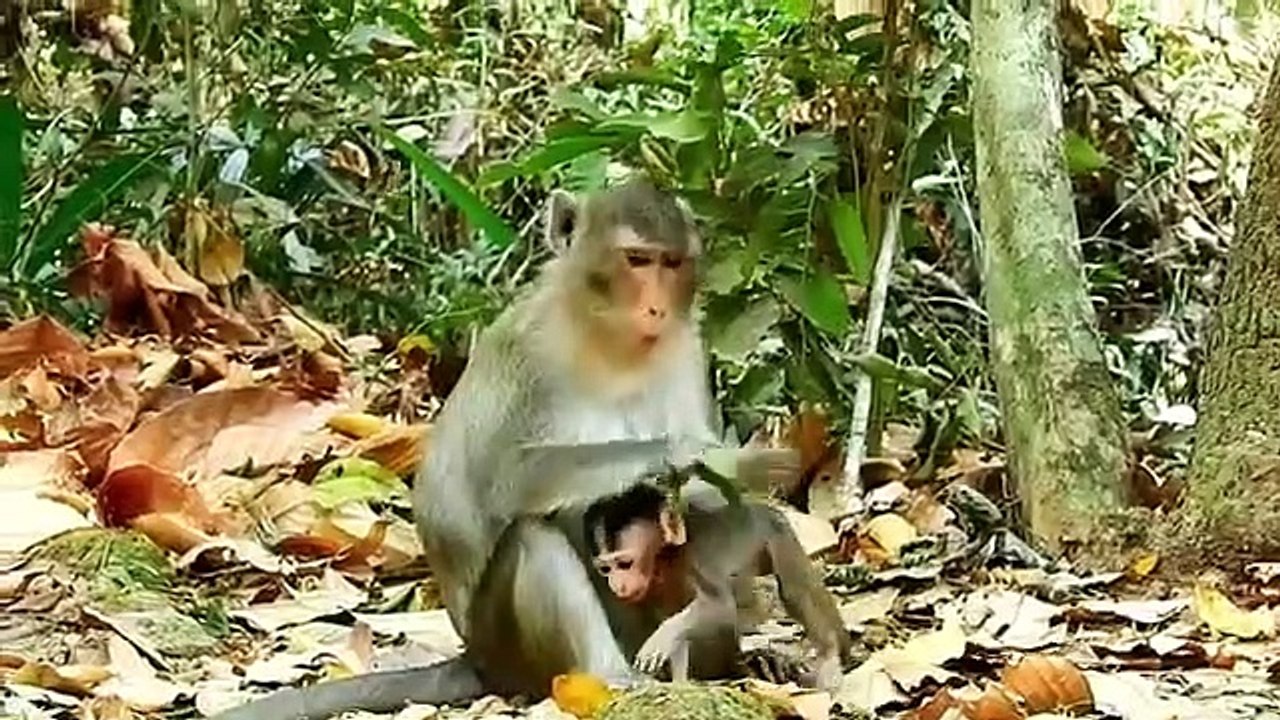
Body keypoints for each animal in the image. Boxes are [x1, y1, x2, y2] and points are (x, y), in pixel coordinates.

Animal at [209, 178, 801, 720]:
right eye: (637, 260)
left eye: (672, 263)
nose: (656, 308)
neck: (609, 338)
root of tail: (476, 659)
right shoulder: (528, 355)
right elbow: (511, 475)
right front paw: (698, 452)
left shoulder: (685, 348)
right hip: (512, 647)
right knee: (531, 539)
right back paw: (612, 678)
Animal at [583, 483, 851, 691]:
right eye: (606, 569)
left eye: (624, 564)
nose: (616, 585)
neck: (665, 556)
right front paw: (678, 683)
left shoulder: (697, 555)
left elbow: (719, 606)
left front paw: (663, 636)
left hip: (774, 530)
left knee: (794, 589)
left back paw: (830, 654)